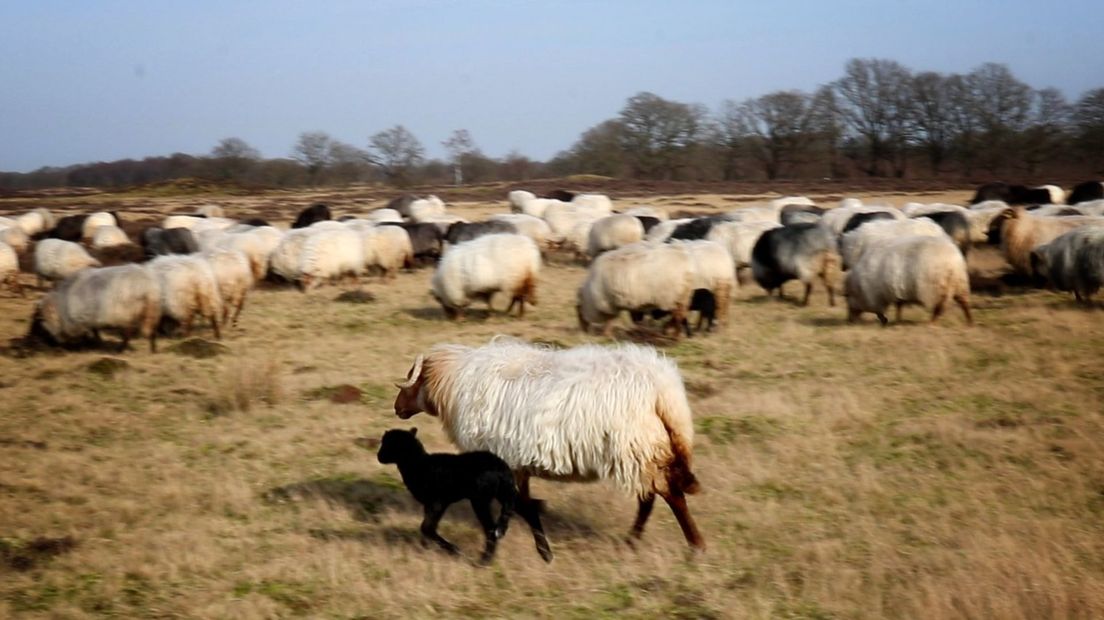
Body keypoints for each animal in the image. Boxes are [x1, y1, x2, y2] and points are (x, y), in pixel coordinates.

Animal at [30, 261, 161, 353]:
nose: (30, 339)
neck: (62, 306)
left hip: (127, 314)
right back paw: (153, 350)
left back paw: (120, 350)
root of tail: (148, 286)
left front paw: (86, 345)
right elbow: (94, 331)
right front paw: (97, 343)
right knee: (152, 332)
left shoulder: (83, 319)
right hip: (150, 313)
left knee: (127, 335)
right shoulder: (91, 318)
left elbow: (89, 333)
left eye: (38, 321)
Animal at [377, 428, 518, 562]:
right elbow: (429, 527)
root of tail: (502, 469)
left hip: (480, 499)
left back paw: (483, 561)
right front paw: (425, 548)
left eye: (389, 443)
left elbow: (426, 528)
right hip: (503, 493)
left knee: (490, 529)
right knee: (505, 514)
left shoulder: (436, 502)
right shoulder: (437, 503)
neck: (419, 465)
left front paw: (453, 550)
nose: (379, 456)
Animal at [395, 335, 706, 558]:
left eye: (412, 378)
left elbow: (519, 502)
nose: (396, 408)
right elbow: (522, 499)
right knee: (649, 497)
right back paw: (633, 540)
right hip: (639, 451)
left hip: (635, 447)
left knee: (669, 494)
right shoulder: (516, 462)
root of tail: (662, 385)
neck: (455, 384)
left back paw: (695, 545)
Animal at [839, 233, 971, 326]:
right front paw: (897, 320)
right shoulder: (896, 292)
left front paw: (885, 321)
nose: (849, 321)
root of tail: (955, 259)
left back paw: (932, 323)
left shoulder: (875, 297)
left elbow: (880, 311)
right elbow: (899, 306)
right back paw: (970, 322)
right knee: (964, 303)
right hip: (959, 284)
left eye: (847, 297)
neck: (859, 286)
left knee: (940, 308)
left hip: (940, 289)